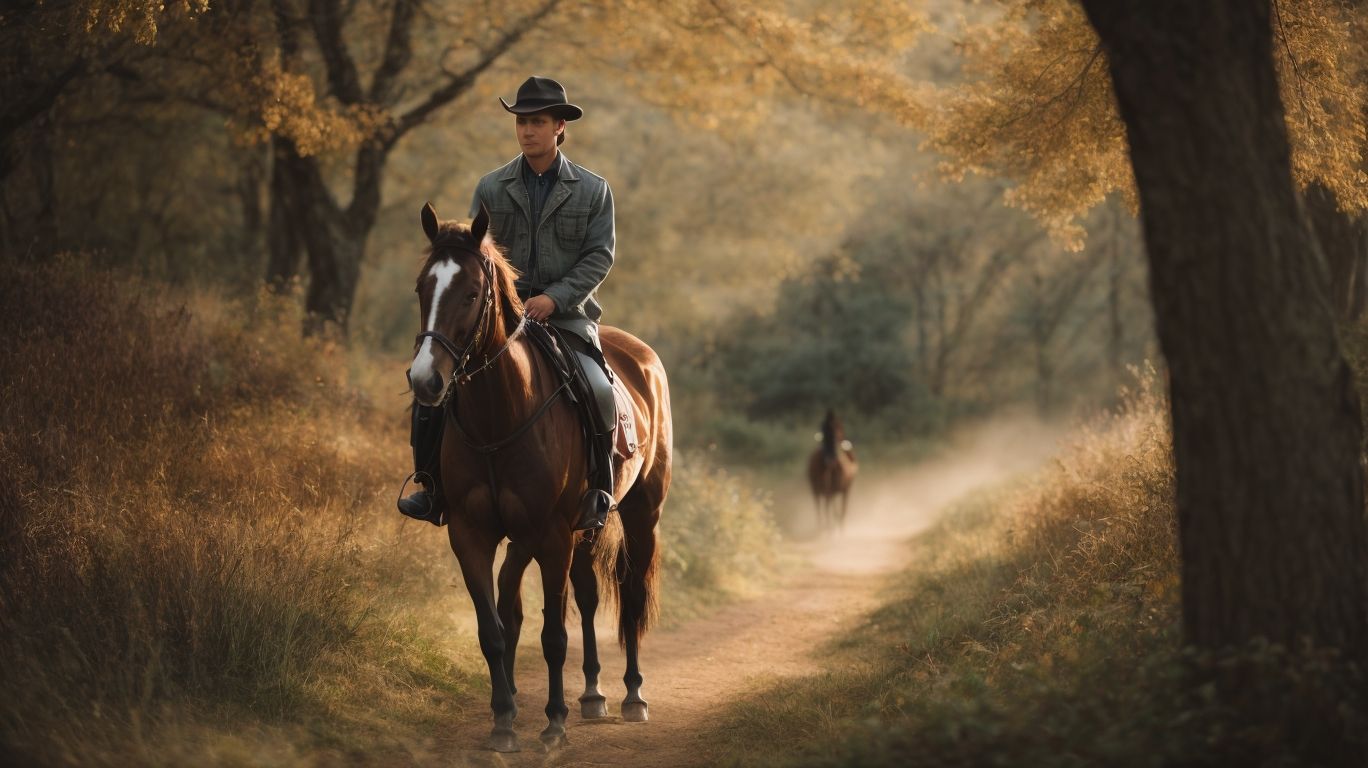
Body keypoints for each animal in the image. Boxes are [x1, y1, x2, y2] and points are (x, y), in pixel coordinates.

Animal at [408, 202, 672, 752]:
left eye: (472, 293)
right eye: (422, 288)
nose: (425, 380)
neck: (498, 417)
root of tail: (643, 358)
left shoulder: (548, 534)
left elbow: (551, 634)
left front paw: (553, 723)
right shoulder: (472, 534)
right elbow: (494, 627)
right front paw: (503, 719)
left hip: (641, 515)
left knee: (631, 596)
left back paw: (632, 696)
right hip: (578, 532)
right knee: (584, 597)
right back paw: (591, 694)